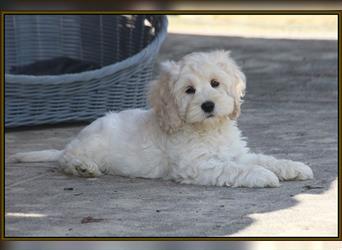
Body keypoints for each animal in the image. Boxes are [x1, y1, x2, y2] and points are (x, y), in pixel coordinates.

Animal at [10, 50, 314, 188]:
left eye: (215, 83)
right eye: (189, 90)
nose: (208, 105)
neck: (208, 130)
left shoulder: (236, 153)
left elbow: (263, 158)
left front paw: (292, 167)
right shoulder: (196, 166)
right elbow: (235, 169)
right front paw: (263, 175)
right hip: (88, 145)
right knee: (66, 159)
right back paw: (83, 167)